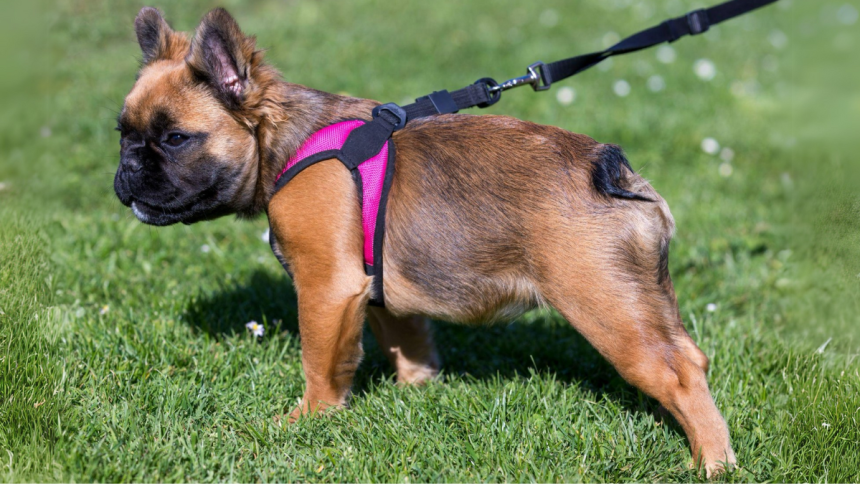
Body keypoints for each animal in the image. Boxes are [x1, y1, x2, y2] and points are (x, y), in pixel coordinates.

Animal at [114, 7, 740, 476]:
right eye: (123, 134)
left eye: (174, 139)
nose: (126, 168)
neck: (283, 140)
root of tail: (607, 168)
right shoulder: (375, 289)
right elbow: (406, 340)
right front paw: (418, 391)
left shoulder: (326, 287)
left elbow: (321, 361)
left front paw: (309, 419)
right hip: (641, 297)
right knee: (689, 356)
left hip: (607, 306)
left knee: (680, 375)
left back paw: (713, 463)